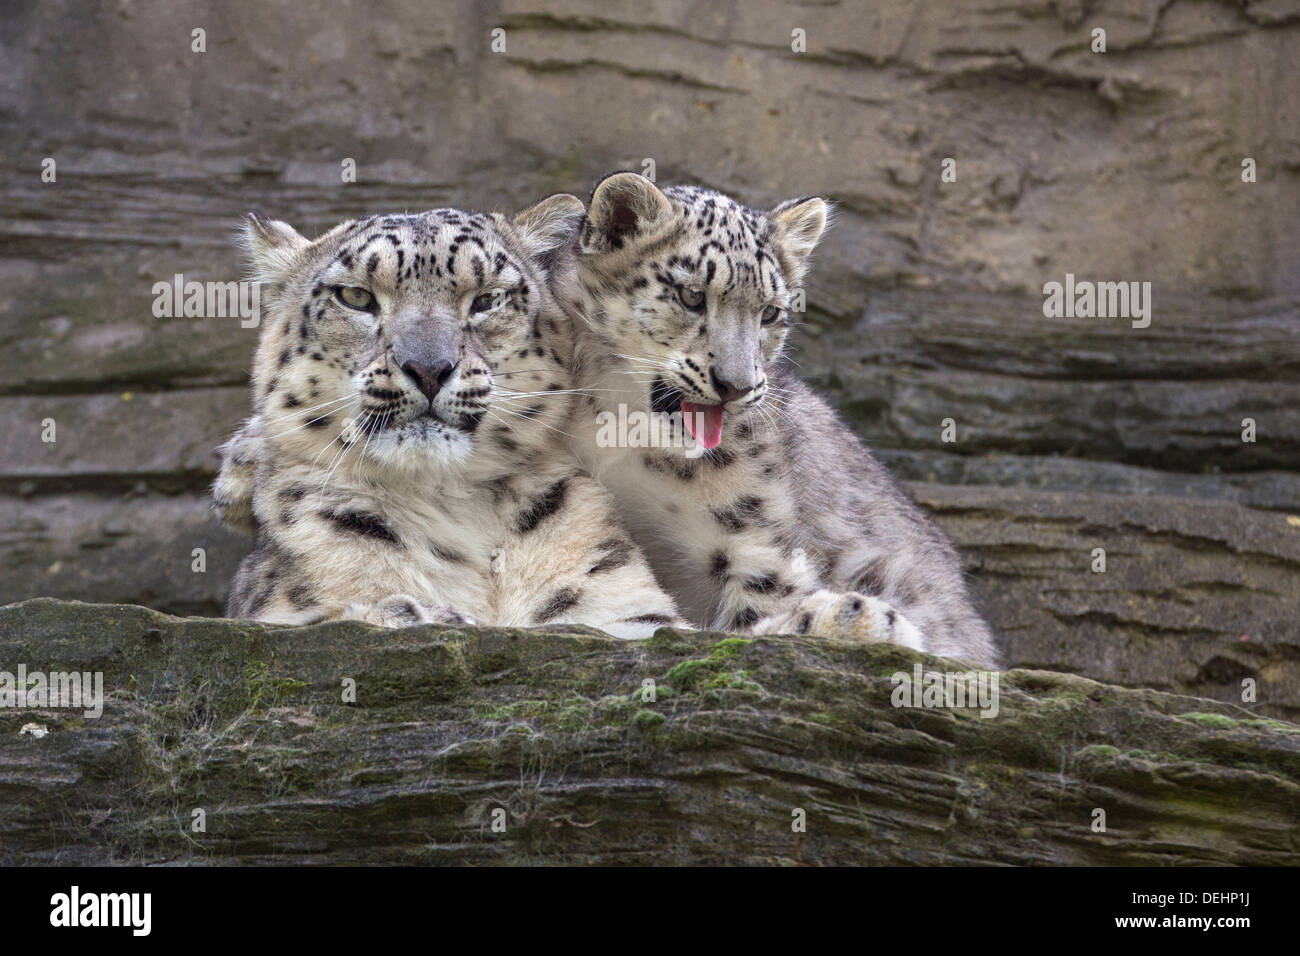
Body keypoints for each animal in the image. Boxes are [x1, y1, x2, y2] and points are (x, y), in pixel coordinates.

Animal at [213, 200, 686, 638]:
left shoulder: (624, 612)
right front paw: (413, 612)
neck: (453, 504)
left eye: (488, 299)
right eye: (356, 297)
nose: (428, 368)